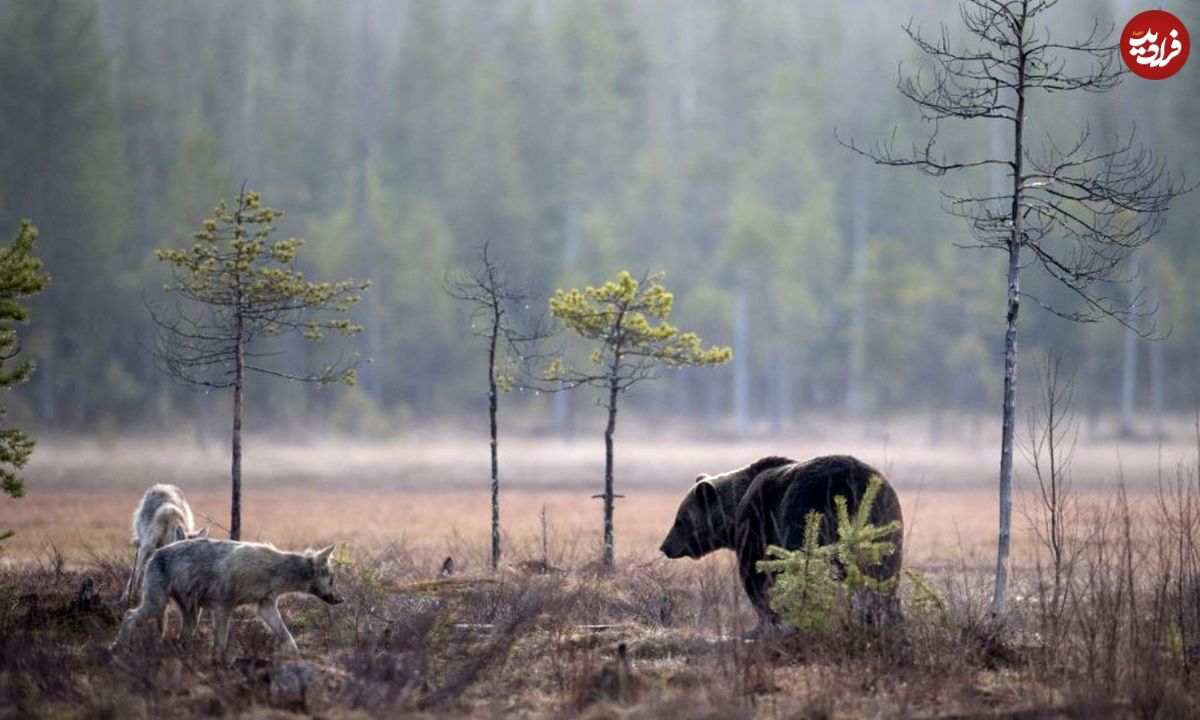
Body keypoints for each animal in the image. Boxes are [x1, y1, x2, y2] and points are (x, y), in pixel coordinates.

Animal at [111, 537, 343, 662]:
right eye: (331, 580)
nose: (340, 599)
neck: (274, 570)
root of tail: (155, 554)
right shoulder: (222, 606)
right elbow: (221, 642)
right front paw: (218, 664)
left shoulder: (266, 608)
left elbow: (287, 637)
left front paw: (298, 658)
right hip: (156, 605)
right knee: (129, 615)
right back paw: (117, 647)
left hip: (191, 615)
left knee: (181, 637)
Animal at [662, 456, 902, 619]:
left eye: (679, 520)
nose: (665, 546)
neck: (735, 512)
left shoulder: (757, 525)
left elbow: (757, 574)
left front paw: (769, 616)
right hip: (884, 519)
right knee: (884, 572)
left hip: (811, 512)